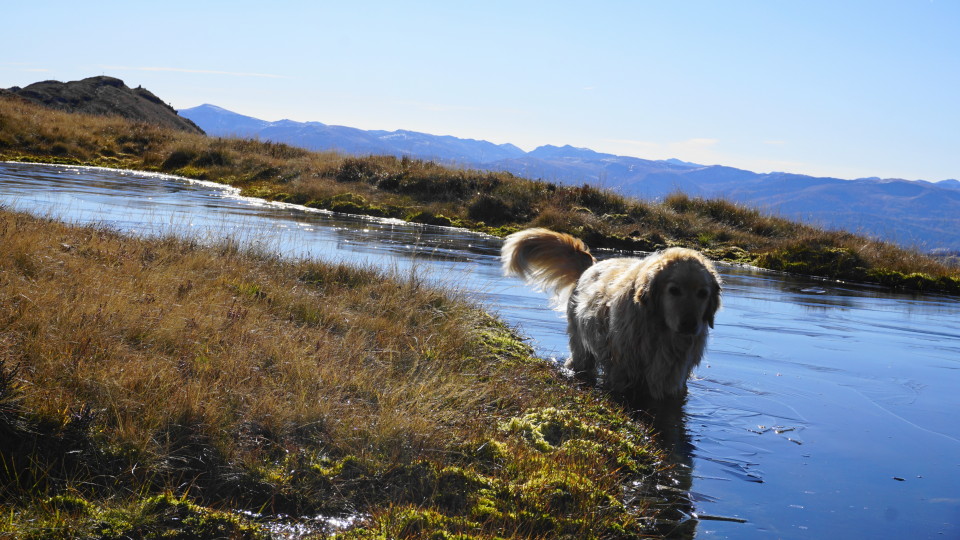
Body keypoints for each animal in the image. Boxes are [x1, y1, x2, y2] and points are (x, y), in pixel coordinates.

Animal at [502, 228, 720, 400]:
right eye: (674, 290)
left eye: (703, 293)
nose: (689, 324)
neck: (660, 333)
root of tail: (591, 265)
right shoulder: (622, 370)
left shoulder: (671, 376)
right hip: (582, 346)